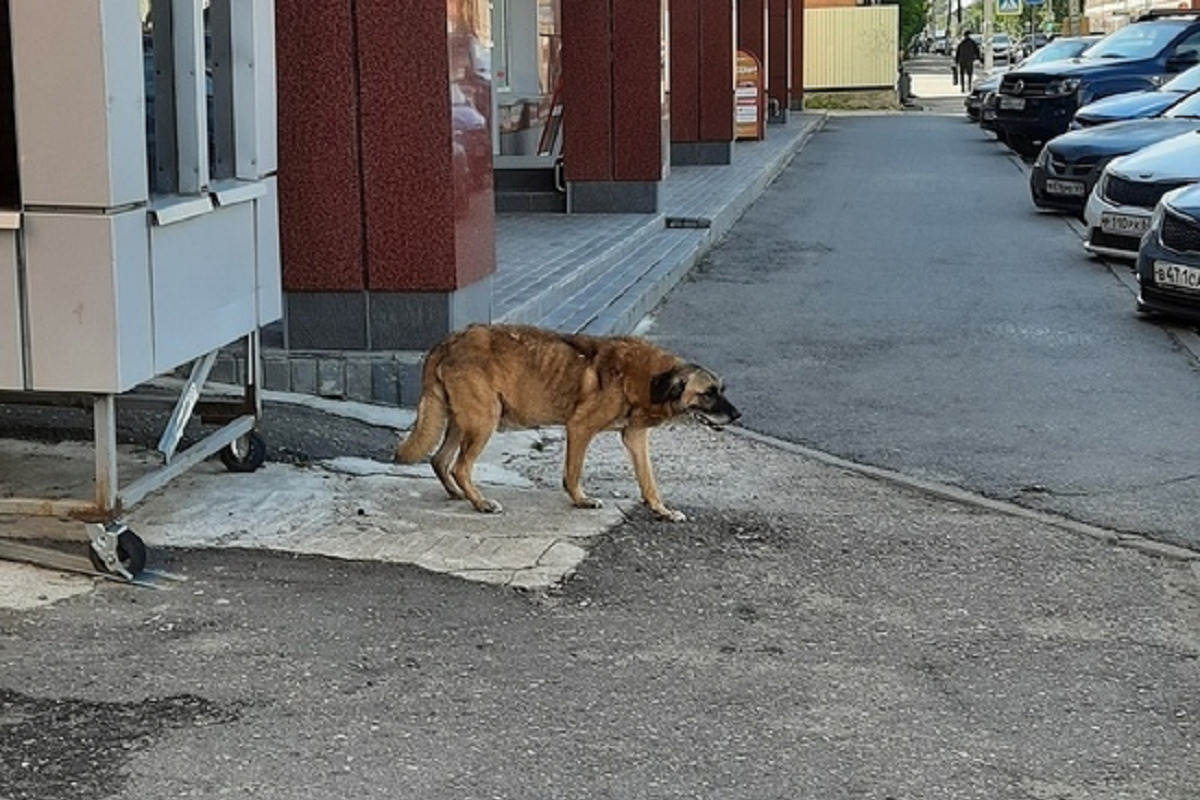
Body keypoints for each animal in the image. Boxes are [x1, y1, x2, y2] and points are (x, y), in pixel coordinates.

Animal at [393, 321, 734, 522]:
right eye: (708, 393)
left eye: (722, 390)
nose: (737, 415)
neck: (649, 377)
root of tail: (447, 341)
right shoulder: (580, 429)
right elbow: (573, 473)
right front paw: (580, 500)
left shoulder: (635, 438)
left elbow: (649, 481)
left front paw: (661, 509)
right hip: (482, 421)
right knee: (459, 466)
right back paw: (480, 503)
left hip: (461, 420)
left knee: (439, 459)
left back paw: (460, 494)